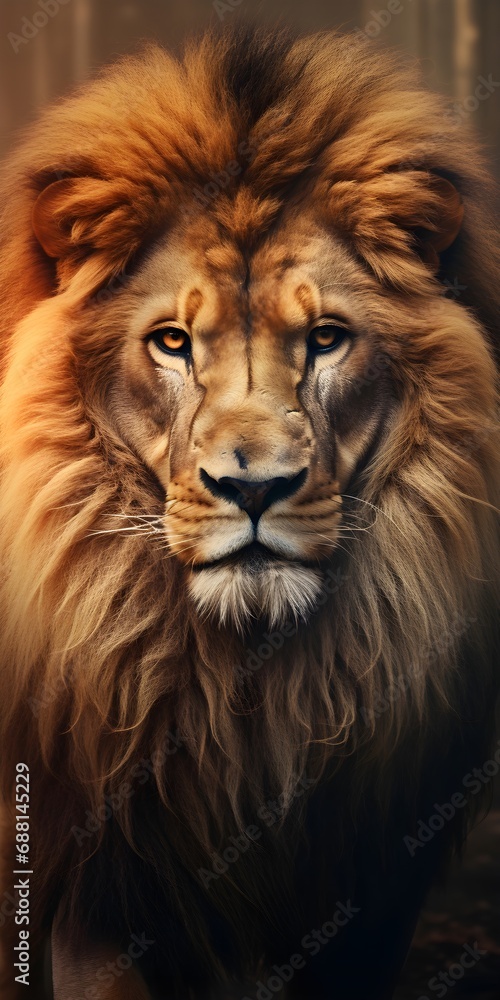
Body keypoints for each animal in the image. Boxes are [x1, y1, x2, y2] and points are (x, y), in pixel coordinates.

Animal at [0, 22, 498, 1000]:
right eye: (172, 342)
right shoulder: (93, 887)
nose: (255, 488)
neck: (248, 693)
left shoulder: (373, 886)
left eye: (327, 338)